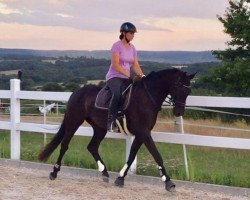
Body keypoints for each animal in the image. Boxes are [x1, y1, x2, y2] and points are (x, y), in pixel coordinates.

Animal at [38, 68, 195, 192]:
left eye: (188, 91)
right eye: (178, 87)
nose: (179, 112)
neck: (147, 97)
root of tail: (77, 91)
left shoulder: (141, 133)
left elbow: (131, 155)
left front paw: (120, 178)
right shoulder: (144, 132)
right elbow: (156, 155)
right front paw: (169, 182)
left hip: (99, 128)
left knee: (92, 147)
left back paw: (104, 173)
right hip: (74, 121)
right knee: (65, 145)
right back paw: (54, 172)